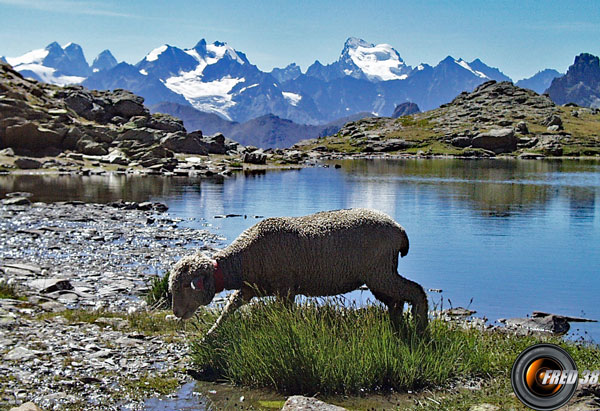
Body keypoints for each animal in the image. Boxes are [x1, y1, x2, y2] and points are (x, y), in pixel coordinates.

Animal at [169, 209, 428, 334]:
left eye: (184, 287)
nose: (176, 312)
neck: (242, 260)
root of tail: (400, 231)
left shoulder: (285, 288)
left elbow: (282, 314)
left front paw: (280, 334)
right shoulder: (250, 288)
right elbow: (230, 308)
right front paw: (210, 335)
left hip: (379, 271)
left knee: (416, 291)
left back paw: (420, 325)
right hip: (380, 273)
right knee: (396, 301)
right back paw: (397, 325)